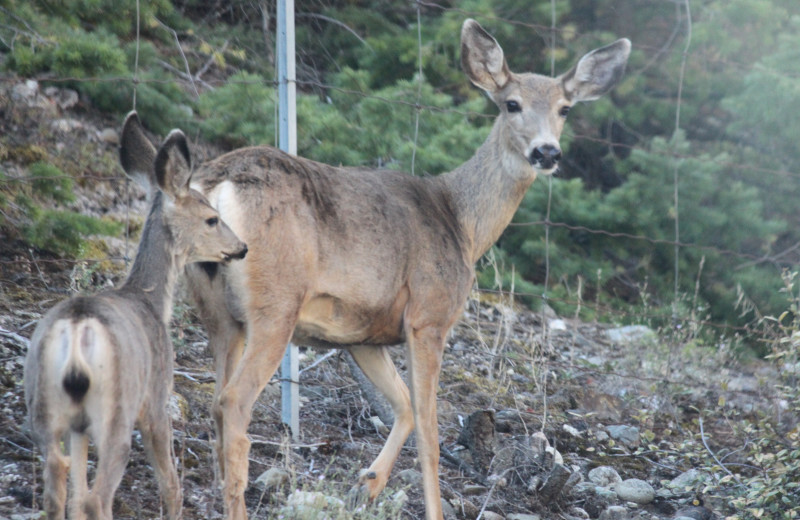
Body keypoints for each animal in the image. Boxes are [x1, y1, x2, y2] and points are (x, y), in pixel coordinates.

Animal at [24, 114, 247, 520]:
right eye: (212, 218)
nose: (241, 247)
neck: (149, 300)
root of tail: (77, 330)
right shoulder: (158, 396)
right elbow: (171, 486)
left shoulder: (77, 425)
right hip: (118, 408)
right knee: (97, 496)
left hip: (44, 403)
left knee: (59, 483)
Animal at [125, 18, 632, 516]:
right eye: (512, 104)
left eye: (565, 108)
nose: (547, 152)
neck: (461, 222)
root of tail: (215, 181)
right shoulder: (429, 316)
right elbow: (429, 429)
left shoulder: (362, 334)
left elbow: (403, 407)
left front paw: (366, 486)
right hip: (275, 304)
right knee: (233, 402)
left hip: (218, 313)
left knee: (215, 400)